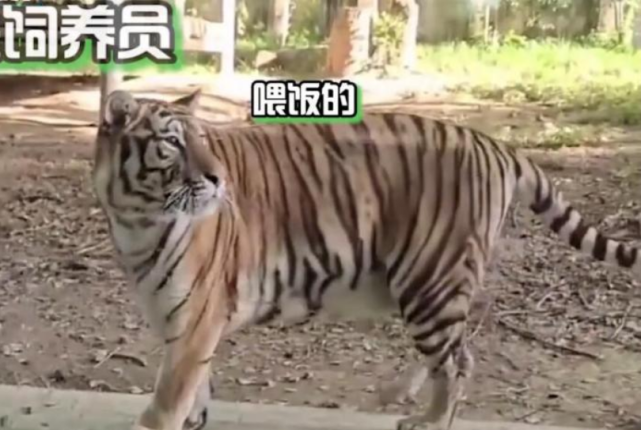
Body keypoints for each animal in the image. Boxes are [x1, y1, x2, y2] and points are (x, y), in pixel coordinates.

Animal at [92, 88, 641, 430]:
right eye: (171, 143)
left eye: (203, 140)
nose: (217, 179)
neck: (136, 217)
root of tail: (496, 145)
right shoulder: (178, 317)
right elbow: (195, 389)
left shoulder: (196, 317)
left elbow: (171, 395)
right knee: (454, 350)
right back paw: (406, 400)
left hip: (430, 280)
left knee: (458, 362)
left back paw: (429, 421)